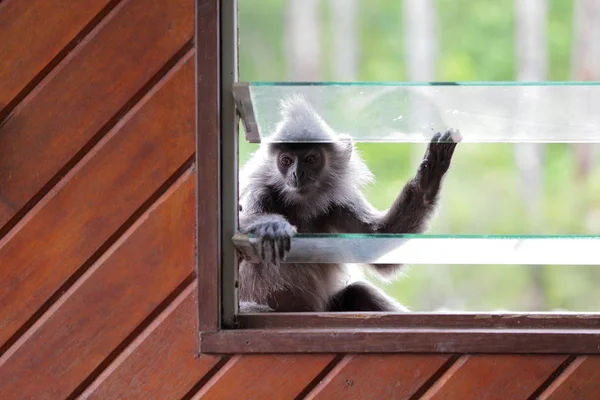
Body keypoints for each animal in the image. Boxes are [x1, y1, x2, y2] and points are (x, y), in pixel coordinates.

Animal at [237, 94, 462, 312]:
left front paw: (427, 178)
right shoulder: (260, 193)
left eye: (311, 159)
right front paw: (270, 224)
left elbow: (378, 246)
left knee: (358, 292)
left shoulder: (338, 206)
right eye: (286, 161)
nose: (297, 173)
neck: (299, 205)